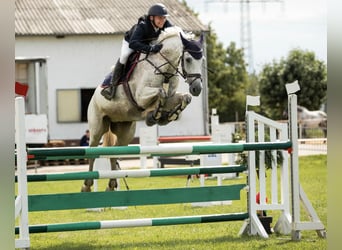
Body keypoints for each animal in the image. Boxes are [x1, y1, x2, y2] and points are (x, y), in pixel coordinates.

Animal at [81, 26, 204, 191]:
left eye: (202, 60)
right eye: (188, 59)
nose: (197, 88)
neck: (164, 67)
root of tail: (93, 97)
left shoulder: (171, 96)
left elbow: (183, 98)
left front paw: (169, 115)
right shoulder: (140, 96)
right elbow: (160, 93)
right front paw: (154, 116)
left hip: (125, 131)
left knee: (114, 153)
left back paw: (112, 184)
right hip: (97, 127)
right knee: (92, 152)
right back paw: (87, 186)